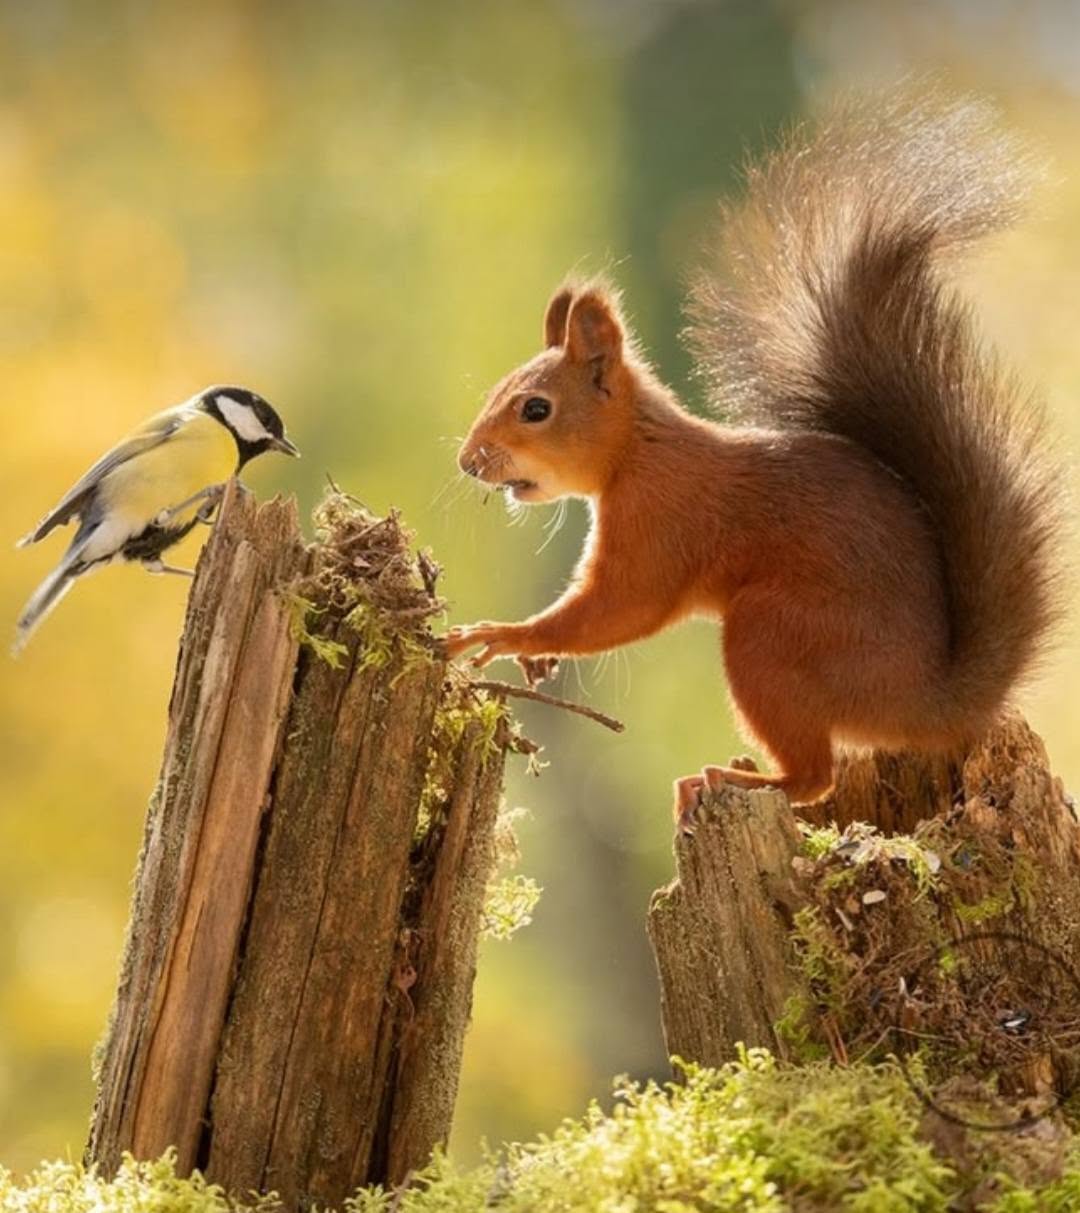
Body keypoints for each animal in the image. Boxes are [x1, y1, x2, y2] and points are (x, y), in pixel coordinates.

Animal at [445, 91, 1065, 831]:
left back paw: (739, 780)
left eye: (535, 408)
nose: (468, 461)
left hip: (770, 636)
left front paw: (503, 634)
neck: (638, 451)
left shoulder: (660, 522)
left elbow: (622, 609)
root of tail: (927, 704)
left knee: (816, 777)